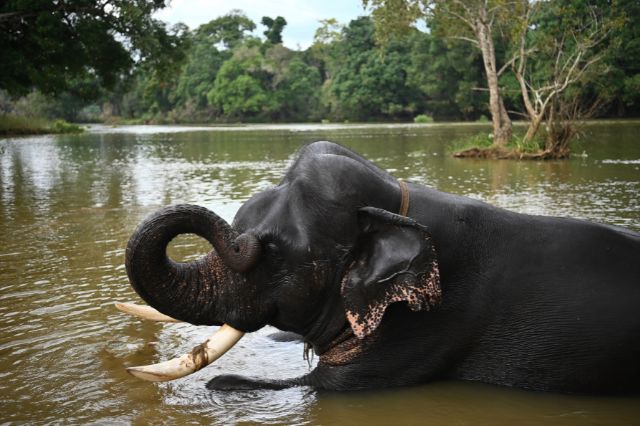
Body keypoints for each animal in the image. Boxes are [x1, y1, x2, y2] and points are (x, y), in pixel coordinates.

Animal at [122, 141, 640, 393]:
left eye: (273, 254)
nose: (242, 239)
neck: (395, 203)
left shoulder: (428, 322)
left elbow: (326, 385)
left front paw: (223, 382)